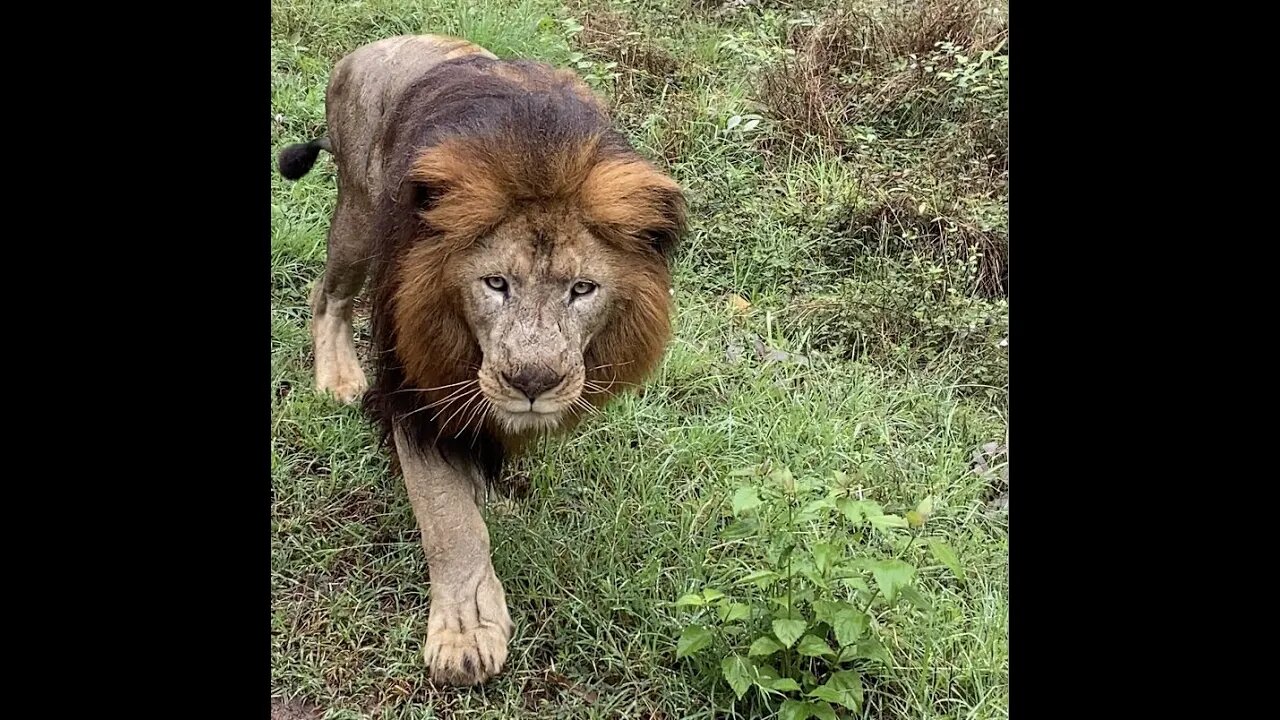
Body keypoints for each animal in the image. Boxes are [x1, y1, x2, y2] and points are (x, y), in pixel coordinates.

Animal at [273, 35, 686, 681]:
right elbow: (448, 517)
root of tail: (369, 48)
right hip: (359, 212)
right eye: (495, 283)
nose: (532, 381)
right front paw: (466, 630)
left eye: (583, 289)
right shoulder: (414, 389)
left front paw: (492, 499)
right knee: (328, 293)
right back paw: (337, 376)